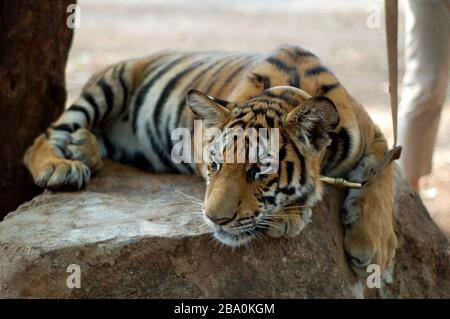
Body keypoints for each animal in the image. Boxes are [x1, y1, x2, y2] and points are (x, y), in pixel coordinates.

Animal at [23, 43, 398, 284]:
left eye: (259, 171)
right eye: (215, 165)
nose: (214, 219)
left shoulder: (379, 137)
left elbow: (381, 181)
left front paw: (375, 248)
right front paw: (292, 216)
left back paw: (82, 149)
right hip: (109, 83)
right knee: (43, 137)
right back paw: (62, 167)